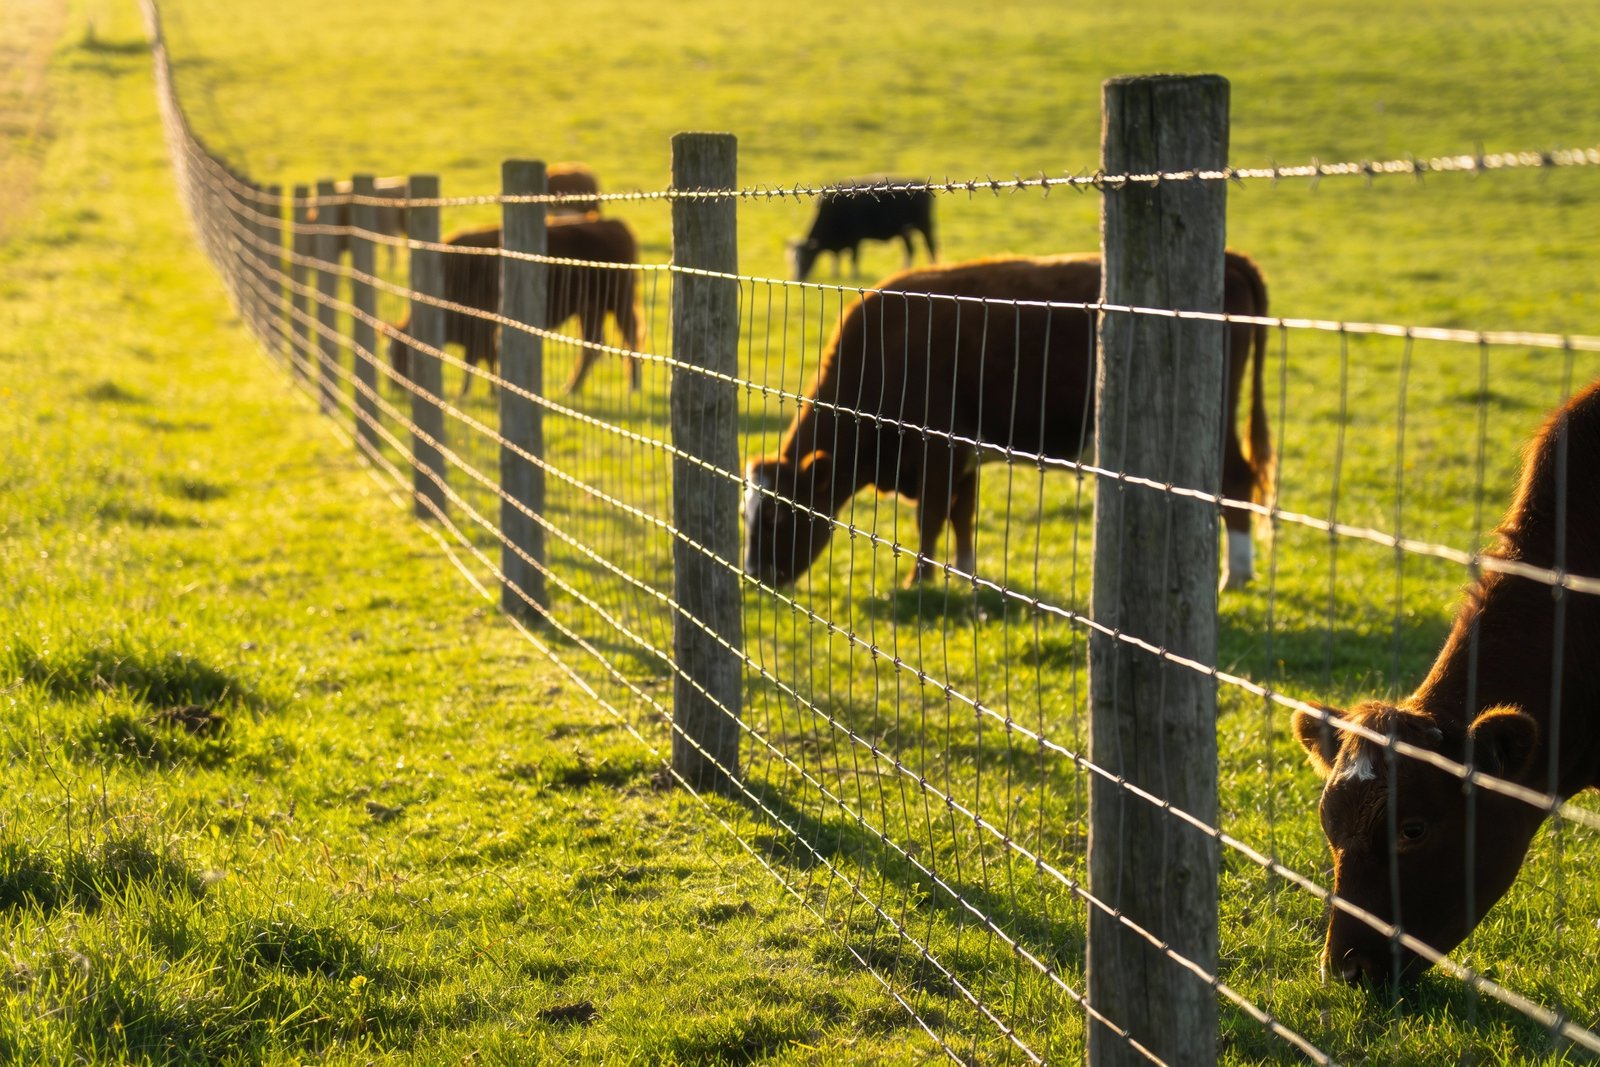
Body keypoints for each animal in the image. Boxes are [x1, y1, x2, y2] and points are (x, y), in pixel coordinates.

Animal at [386, 216, 644, 396]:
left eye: (402, 351)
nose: (395, 386)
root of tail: (613, 224)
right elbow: (484, 355)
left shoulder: (483, 325)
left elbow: (480, 357)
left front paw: (473, 392)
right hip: (590, 310)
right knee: (592, 346)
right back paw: (571, 388)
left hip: (618, 303)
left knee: (629, 339)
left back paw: (632, 386)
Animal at [743, 251, 1273, 590]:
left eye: (777, 516)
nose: (755, 576)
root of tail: (1231, 258)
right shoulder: (965, 455)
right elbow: (962, 516)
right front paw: (963, 574)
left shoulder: (938, 448)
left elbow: (931, 516)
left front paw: (919, 580)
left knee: (1236, 480)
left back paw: (1236, 576)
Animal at [788, 178, 937, 283]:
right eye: (792, 259)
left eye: (805, 257)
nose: (796, 277)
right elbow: (836, 259)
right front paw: (836, 274)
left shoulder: (856, 239)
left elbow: (854, 259)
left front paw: (854, 276)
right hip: (905, 231)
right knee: (910, 250)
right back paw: (904, 271)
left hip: (925, 226)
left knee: (930, 246)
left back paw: (932, 267)